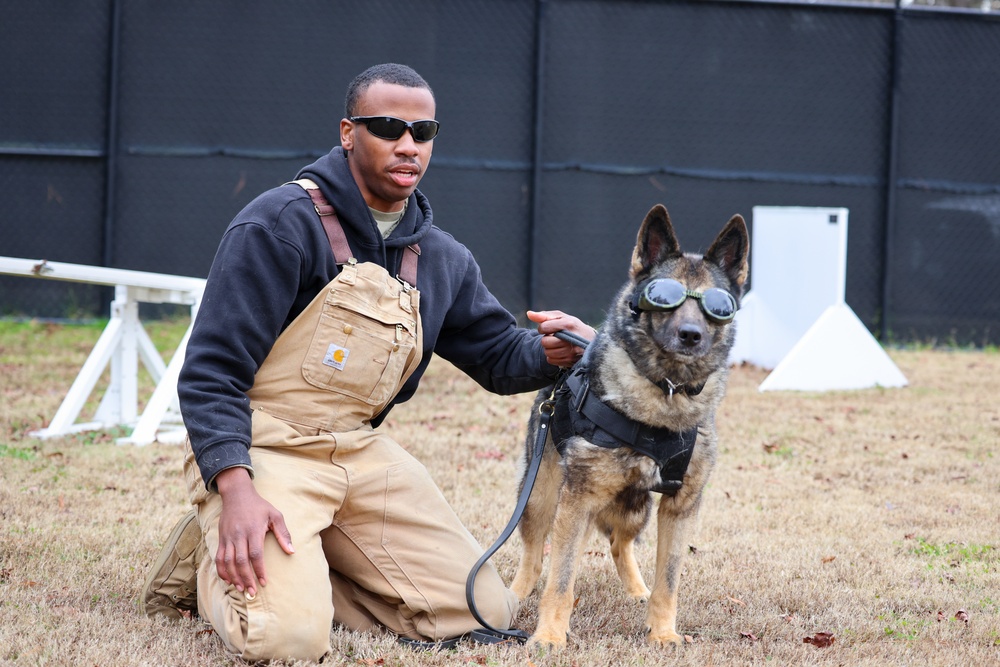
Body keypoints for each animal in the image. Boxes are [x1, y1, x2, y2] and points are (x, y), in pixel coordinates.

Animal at [512, 204, 748, 648]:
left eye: (717, 305)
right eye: (665, 297)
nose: (690, 335)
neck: (667, 392)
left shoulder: (680, 507)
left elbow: (668, 582)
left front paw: (664, 633)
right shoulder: (577, 500)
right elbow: (560, 579)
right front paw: (549, 636)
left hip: (633, 508)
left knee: (620, 546)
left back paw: (637, 590)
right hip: (544, 498)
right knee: (537, 556)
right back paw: (515, 595)